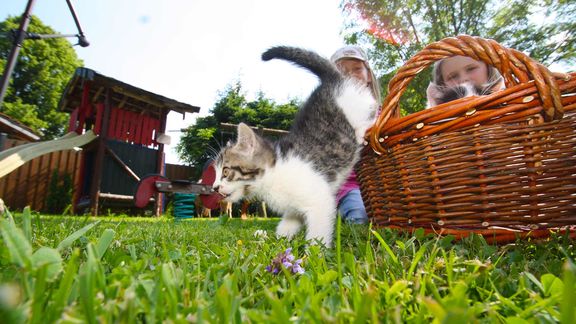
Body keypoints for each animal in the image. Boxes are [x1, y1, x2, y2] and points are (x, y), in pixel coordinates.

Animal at [209, 46, 376, 247]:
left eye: (226, 171)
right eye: (216, 172)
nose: (214, 187)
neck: (273, 173)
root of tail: (332, 80)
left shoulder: (320, 200)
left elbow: (317, 234)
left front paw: (315, 253)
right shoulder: (293, 208)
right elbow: (288, 223)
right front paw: (279, 241)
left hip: (357, 104)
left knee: (372, 108)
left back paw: (362, 131)